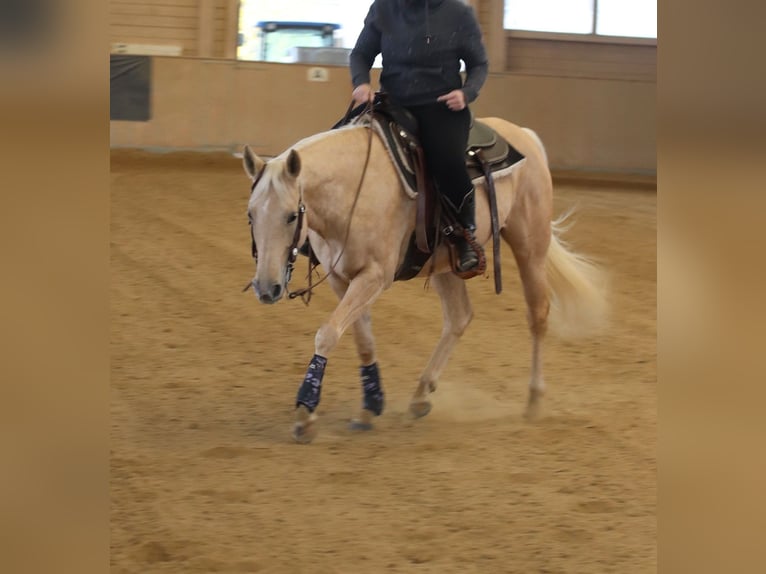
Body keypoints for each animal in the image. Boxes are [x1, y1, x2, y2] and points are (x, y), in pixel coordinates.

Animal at [244, 115, 608, 444]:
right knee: (459, 316)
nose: (266, 288)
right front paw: (371, 404)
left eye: (292, 215)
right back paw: (421, 394)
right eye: (250, 214)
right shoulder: (341, 277)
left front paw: (305, 412)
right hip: (446, 264)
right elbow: (362, 340)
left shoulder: (375, 276)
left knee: (537, 315)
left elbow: (328, 333)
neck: (354, 190)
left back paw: (533, 399)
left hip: (530, 245)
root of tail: (524, 134)